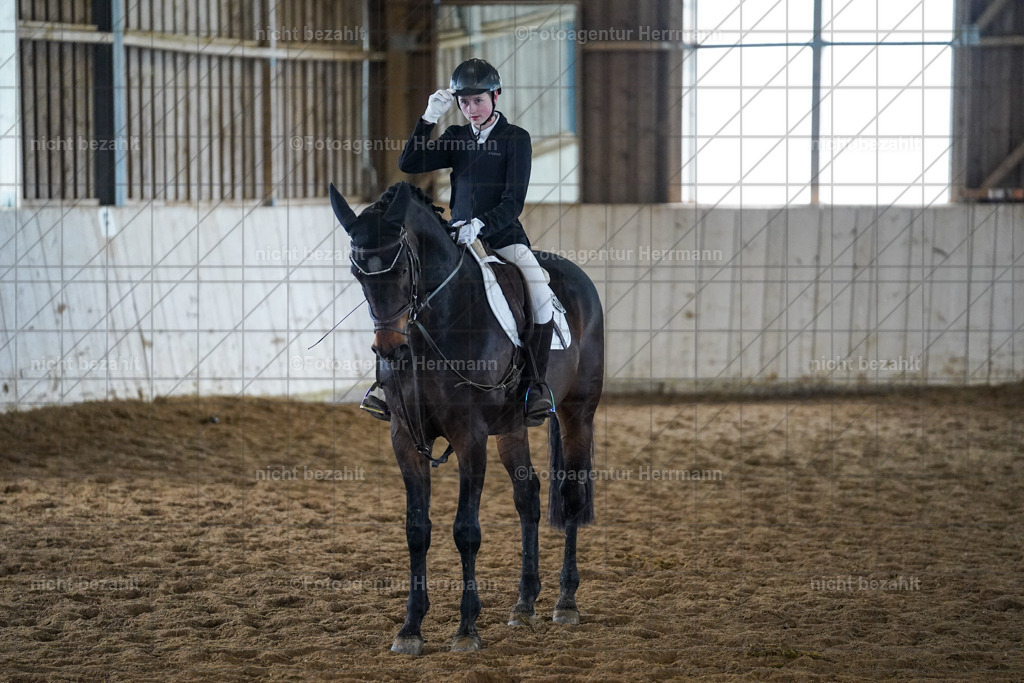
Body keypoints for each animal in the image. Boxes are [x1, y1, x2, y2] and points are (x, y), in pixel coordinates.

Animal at [329, 181, 603, 654]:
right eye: (358, 274)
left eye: (403, 271)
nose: (390, 351)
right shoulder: (405, 438)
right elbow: (417, 530)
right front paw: (410, 629)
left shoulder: (469, 436)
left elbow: (466, 530)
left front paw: (466, 628)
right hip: (512, 427)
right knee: (528, 496)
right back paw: (524, 604)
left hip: (577, 412)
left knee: (569, 495)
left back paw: (565, 601)